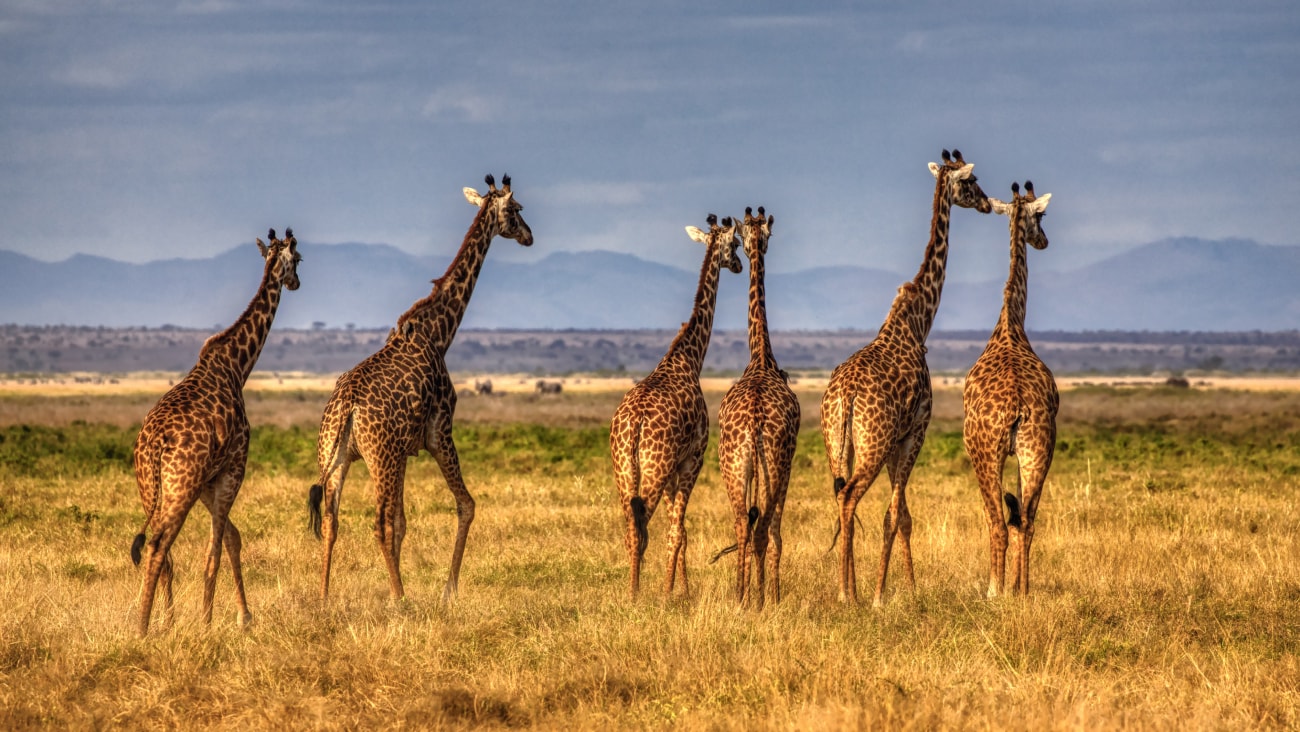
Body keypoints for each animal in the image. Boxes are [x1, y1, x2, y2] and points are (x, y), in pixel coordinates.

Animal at [130, 228, 302, 635]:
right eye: (300, 259)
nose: (296, 283)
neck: (238, 366)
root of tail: (154, 444)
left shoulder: (208, 480)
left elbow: (232, 539)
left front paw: (242, 616)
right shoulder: (233, 467)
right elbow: (216, 551)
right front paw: (208, 623)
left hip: (151, 486)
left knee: (163, 552)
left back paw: (164, 620)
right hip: (180, 484)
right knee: (159, 545)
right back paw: (143, 627)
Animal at [308, 174, 531, 603]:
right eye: (516, 210)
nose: (529, 236)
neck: (438, 333)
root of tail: (345, 408)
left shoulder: (405, 450)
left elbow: (403, 522)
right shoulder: (439, 431)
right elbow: (465, 505)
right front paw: (448, 591)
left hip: (337, 456)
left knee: (331, 521)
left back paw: (325, 596)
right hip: (378, 458)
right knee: (377, 523)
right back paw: (400, 599)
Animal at [609, 214, 742, 597]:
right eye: (736, 244)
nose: (739, 265)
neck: (688, 358)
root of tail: (634, 423)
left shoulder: (673, 469)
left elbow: (678, 530)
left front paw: (681, 587)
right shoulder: (692, 459)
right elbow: (678, 530)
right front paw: (673, 592)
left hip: (624, 470)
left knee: (631, 528)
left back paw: (633, 590)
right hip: (653, 467)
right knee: (643, 527)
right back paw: (637, 594)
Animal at [820, 150, 992, 606]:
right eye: (972, 182)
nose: (988, 204)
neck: (917, 322)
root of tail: (844, 396)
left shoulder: (897, 439)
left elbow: (904, 516)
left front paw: (908, 588)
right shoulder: (916, 429)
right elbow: (895, 515)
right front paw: (885, 595)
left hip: (838, 444)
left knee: (841, 498)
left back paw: (848, 589)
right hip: (873, 443)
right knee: (850, 497)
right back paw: (849, 595)